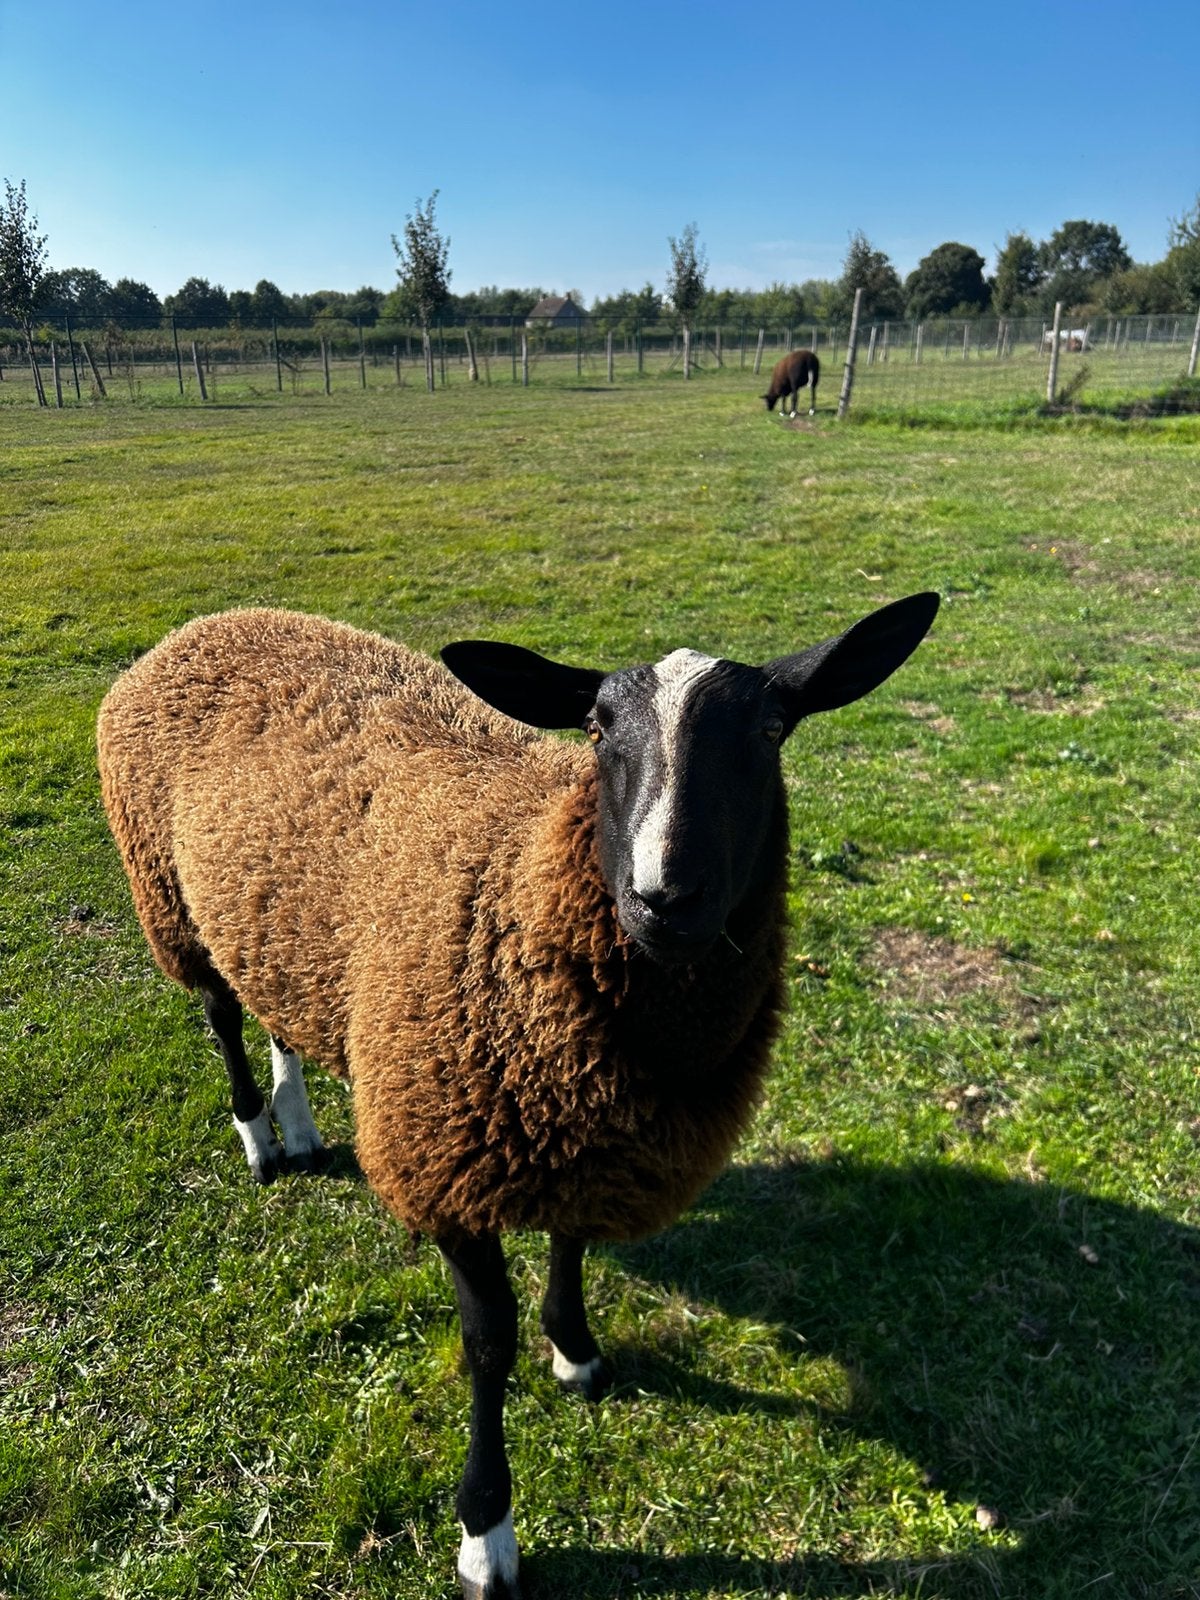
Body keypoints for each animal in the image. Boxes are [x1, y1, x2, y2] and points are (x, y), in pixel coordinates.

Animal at [96, 592, 939, 1600]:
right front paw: (484, 1533)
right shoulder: (446, 1157)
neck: (522, 884)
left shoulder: (592, 1136)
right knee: (222, 1016)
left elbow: (571, 1248)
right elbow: (487, 1344)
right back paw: (261, 1139)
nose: (664, 897)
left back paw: (299, 1125)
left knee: (275, 1016)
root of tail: (214, 621)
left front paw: (576, 1353)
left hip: (270, 926)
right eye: (596, 728)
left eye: (773, 729)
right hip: (169, 897)